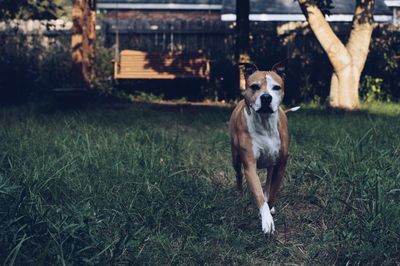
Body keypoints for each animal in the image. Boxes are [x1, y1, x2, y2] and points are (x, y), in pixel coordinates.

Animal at [228, 61, 296, 235]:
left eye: (276, 87)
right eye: (255, 86)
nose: (266, 97)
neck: (265, 124)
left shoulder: (281, 165)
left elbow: (272, 193)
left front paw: (269, 210)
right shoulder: (249, 166)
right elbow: (258, 195)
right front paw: (266, 221)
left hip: (271, 164)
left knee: (268, 182)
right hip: (235, 158)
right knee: (238, 175)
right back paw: (239, 195)